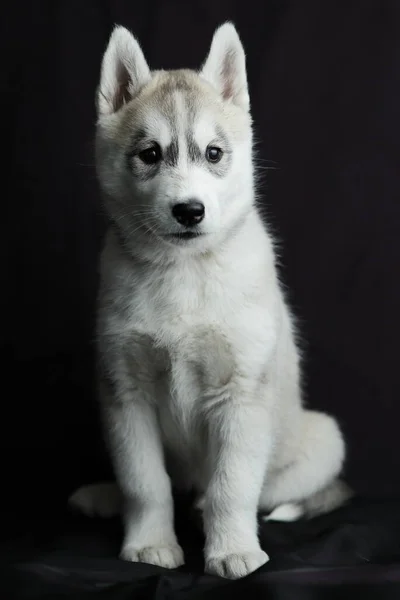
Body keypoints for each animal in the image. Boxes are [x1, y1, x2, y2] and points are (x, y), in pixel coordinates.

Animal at [70, 21, 352, 580]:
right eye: (150, 154)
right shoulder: (126, 394)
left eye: (215, 154)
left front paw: (233, 550)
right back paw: (105, 496)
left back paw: (205, 510)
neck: (183, 271)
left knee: (259, 489)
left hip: (323, 436)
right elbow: (145, 483)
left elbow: (232, 486)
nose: (189, 211)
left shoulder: (241, 394)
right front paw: (149, 543)